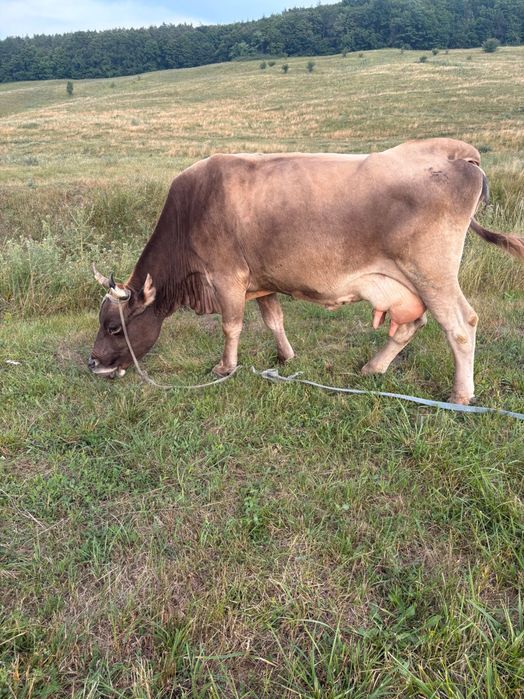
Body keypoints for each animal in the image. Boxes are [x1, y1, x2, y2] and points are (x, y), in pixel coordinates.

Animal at [88, 138, 524, 405]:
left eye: (114, 327)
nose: (94, 364)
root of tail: (457, 151)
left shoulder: (227, 277)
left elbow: (231, 326)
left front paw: (225, 367)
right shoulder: (260, 281)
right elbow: (274, 320)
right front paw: (285, 357)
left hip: (432, 273)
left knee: (461, 325)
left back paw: (460, 395)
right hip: (408, 284)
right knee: (410, 325)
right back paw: (373, 367)